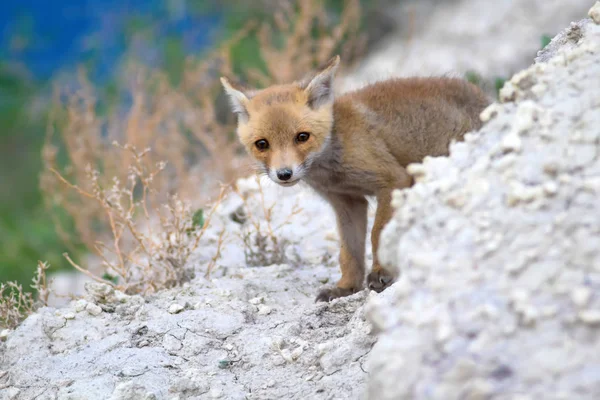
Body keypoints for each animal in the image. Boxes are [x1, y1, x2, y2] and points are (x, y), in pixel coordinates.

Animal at [218, 54, 490, 302]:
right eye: (262, 144)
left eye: (302, 137)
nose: (284, 174)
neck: (332, 169)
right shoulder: (347, 202)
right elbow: (348, 252)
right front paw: (346, 287)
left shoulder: (393, 180)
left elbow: (378, 233)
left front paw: (382, 273)